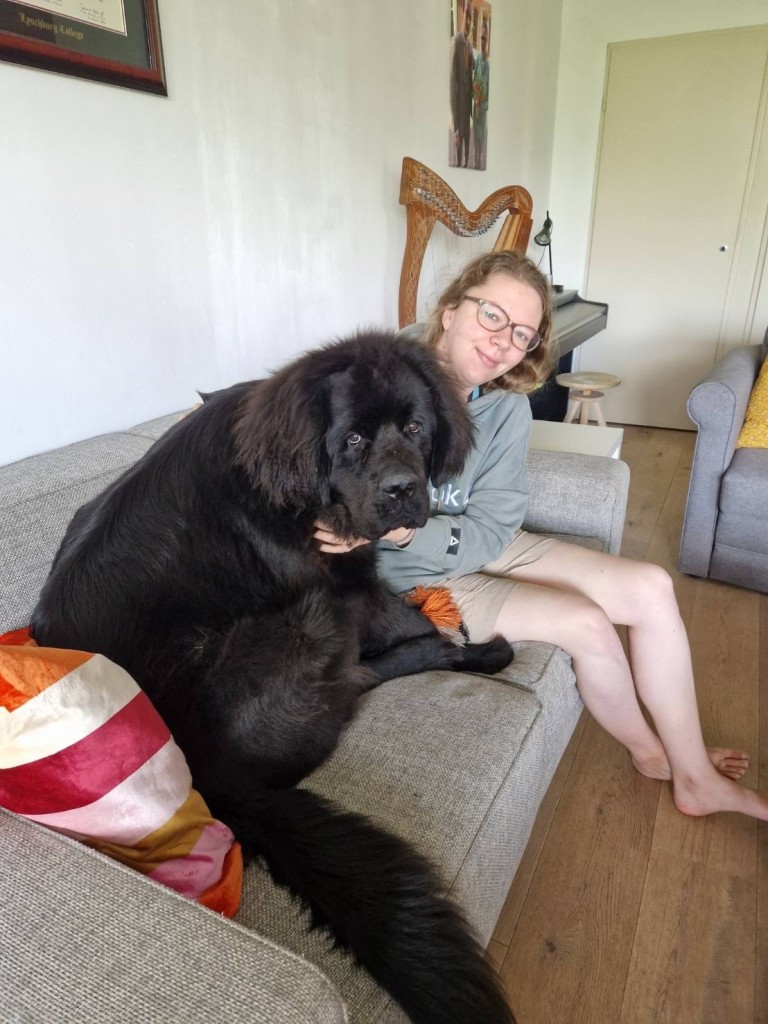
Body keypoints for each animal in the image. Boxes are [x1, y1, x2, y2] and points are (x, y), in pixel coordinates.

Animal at [34, 331, 518, 1019]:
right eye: (353, 439)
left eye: (415, 427)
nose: (403, 490)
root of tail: (211, 779)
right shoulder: (345, 579)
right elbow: (410, 621)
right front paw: (471, 647)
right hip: (308, 619)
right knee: (357, 679)